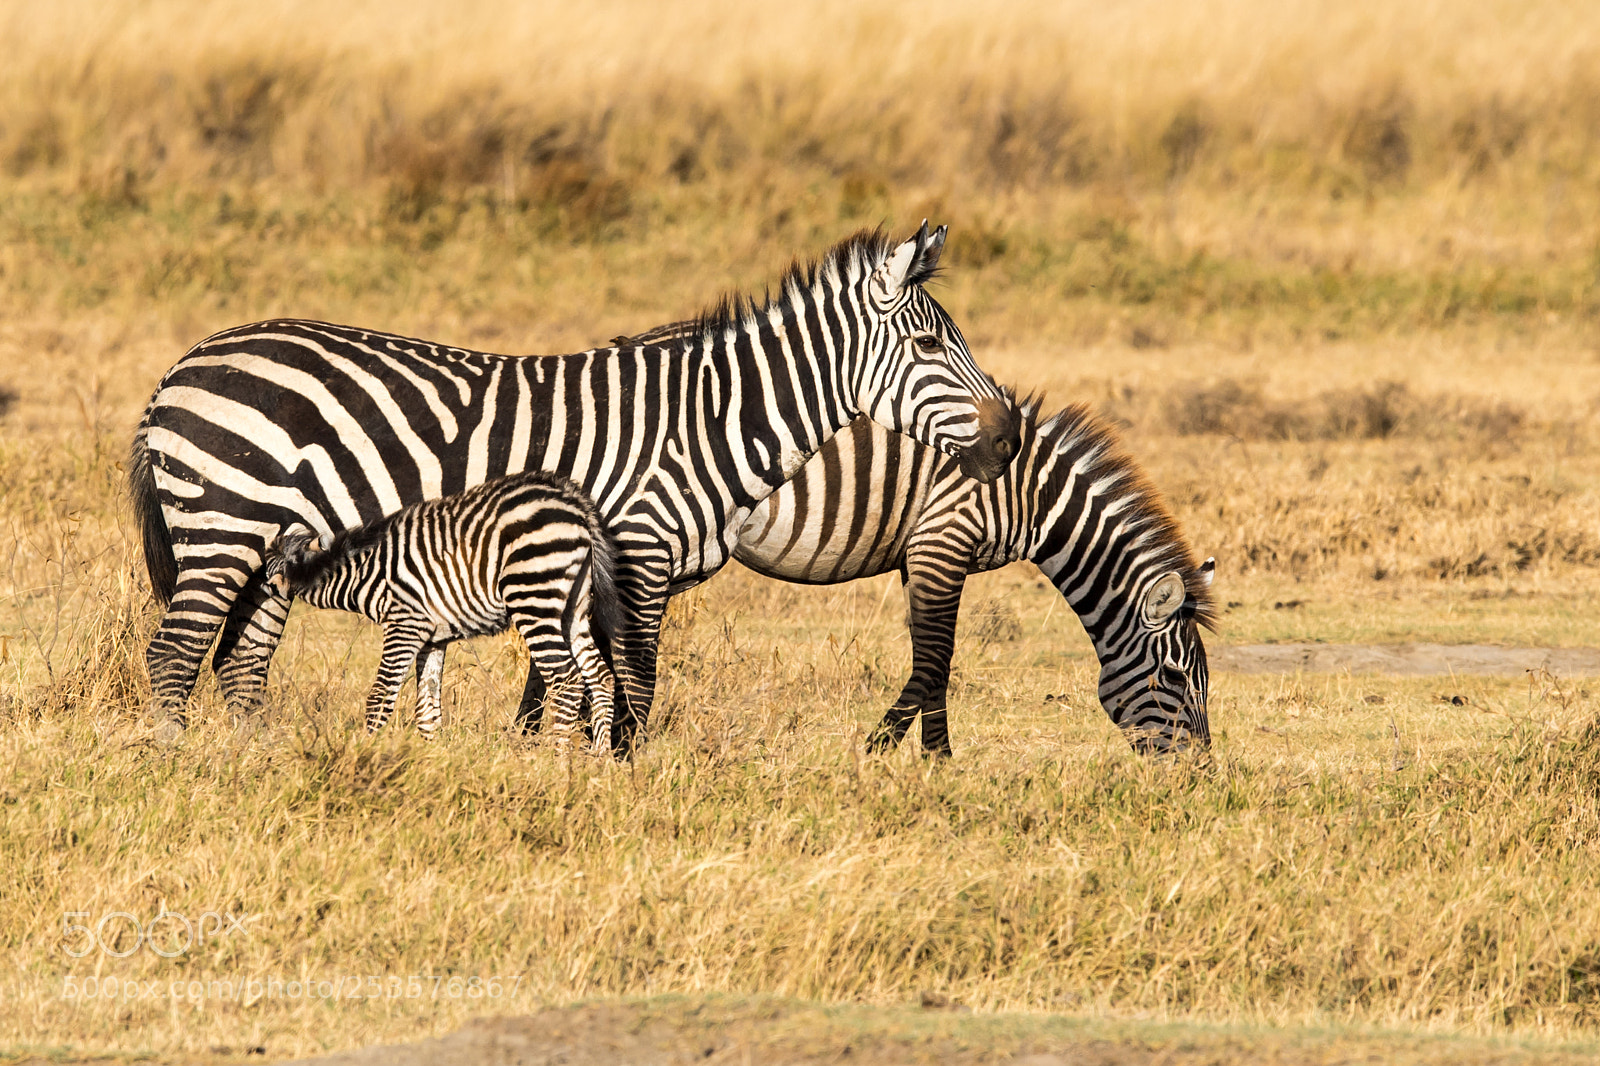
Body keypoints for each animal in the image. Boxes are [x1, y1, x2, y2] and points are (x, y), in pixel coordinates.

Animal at [260, 471, 619, 749]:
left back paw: (559, 760)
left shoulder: (404, 625)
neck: (365, 575)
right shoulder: (432, 638)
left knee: (566, 681)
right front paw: (430, 762)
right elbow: (428, 709)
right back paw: (598, 760)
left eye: (262, 575)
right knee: (599, 676)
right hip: (572, 607)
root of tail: (573, 501)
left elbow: (380, 697)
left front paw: (361, 756)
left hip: (533, 596)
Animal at [731, 395, 1216, 755]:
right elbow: (935, 658)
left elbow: (930, 659)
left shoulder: (919, 556)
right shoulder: (943, 538)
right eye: (1175, 677)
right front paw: (883, 752)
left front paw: (932, 759)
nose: (1198, 771)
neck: (1031, 497)